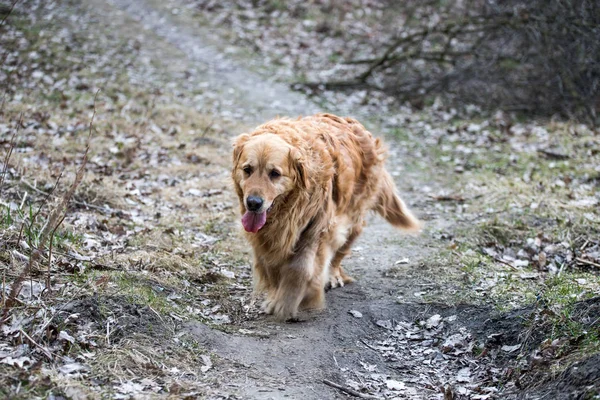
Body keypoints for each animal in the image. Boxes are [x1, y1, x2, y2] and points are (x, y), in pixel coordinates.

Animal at [232, 113, 420, 322]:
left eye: (274, 174)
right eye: (247, 169)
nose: (253, 203)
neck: (287, 209)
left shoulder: (317, 227)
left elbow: (300, 268)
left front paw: (289, 302)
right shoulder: (264, 237)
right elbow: (270, 267)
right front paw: (275, 297)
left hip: (353, 219)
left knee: (339, 253)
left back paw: (332, 276)